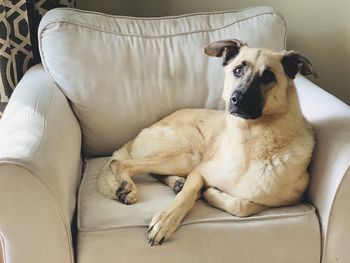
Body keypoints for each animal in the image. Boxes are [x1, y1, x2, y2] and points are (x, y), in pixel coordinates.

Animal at [97, 39, 316, 248]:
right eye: (238, 70)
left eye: (269, 77)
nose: (237, 100)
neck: (251, 143)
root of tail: (139, 134)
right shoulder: (199, 172)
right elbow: (186, 197)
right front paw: (166, 221)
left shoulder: (290, 199)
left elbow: (243, 206)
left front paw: (211, 193)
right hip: (189, 156)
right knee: (119, 163)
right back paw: (133, 186)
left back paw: (176, 182)